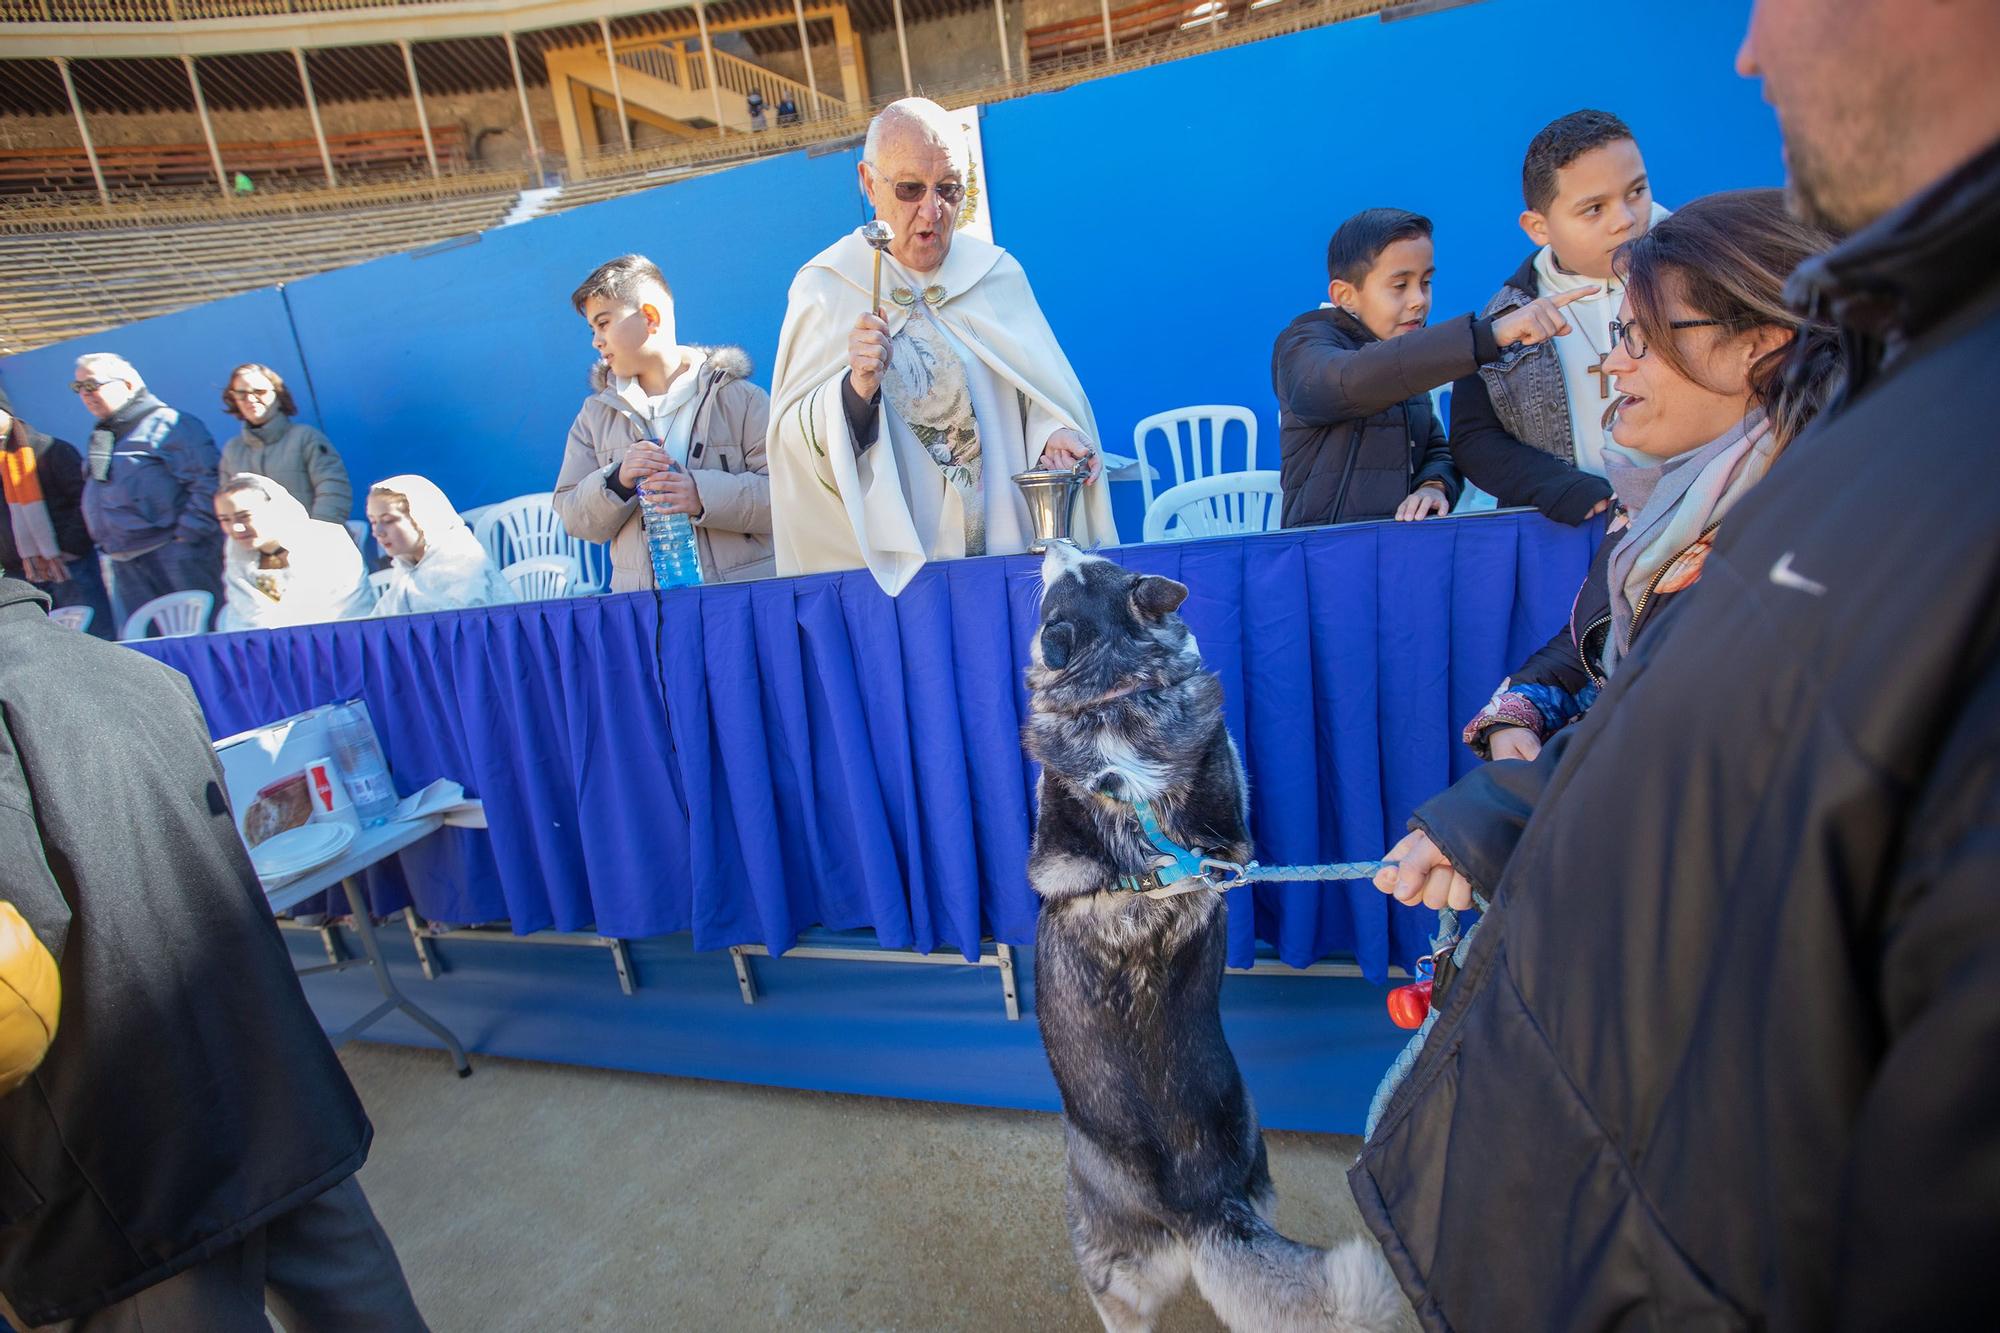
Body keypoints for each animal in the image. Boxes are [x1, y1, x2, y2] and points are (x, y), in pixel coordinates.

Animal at [1024, 544, 1400, 1328]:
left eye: (1081, 571)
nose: (1049, 546)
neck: (1118, 691)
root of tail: (1201, 1207)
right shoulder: (1230, 830)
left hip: (1102, 1260)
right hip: (1256, 1167)